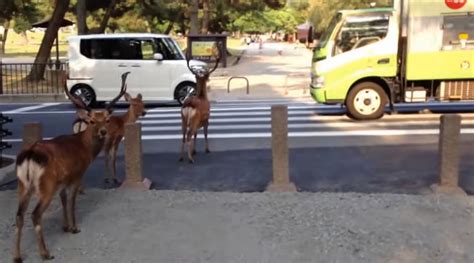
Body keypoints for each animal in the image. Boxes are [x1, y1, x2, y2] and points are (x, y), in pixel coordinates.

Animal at [12, 72, 129, 263]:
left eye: (107, 120)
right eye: (91, 121)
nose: (103, 132)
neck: (84, 148)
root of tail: (30, 154)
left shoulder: (63, 182)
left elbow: (64, 200)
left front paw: (65, 226)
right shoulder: (76, 175)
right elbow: (72, 202)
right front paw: (74, 228)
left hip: (22, 186)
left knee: (19, 215)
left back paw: (16, 256)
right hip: (46, 185)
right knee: (35, 214)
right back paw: (45, 253)